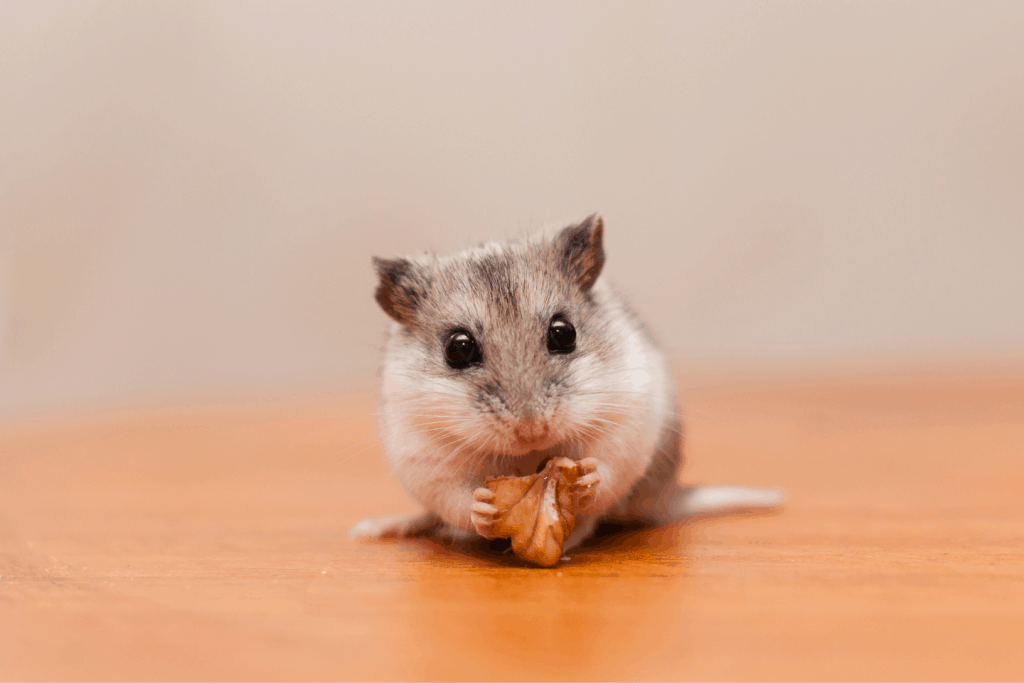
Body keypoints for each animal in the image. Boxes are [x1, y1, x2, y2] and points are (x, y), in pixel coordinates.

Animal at [348, 216, 778, 552]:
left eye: (564, 333)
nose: (531, 430)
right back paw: (380, 528)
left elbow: (607, 471)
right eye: (458, 348)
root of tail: (670, 498)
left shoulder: (628, 423)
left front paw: (587, 480)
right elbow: (456, 498)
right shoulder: (425, 457)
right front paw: (482, 507)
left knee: (598, 519)